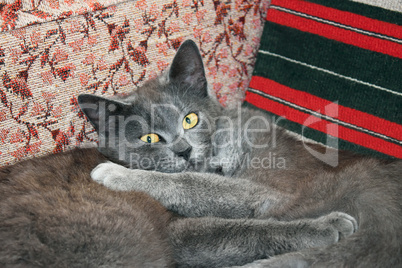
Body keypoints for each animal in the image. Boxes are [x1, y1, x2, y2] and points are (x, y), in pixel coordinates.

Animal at [77, 39, 400, 266]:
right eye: (150, 137)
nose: (184, 150)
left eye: (189, 119)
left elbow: (191, 183)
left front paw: (114, 172)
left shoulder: (269, 193)